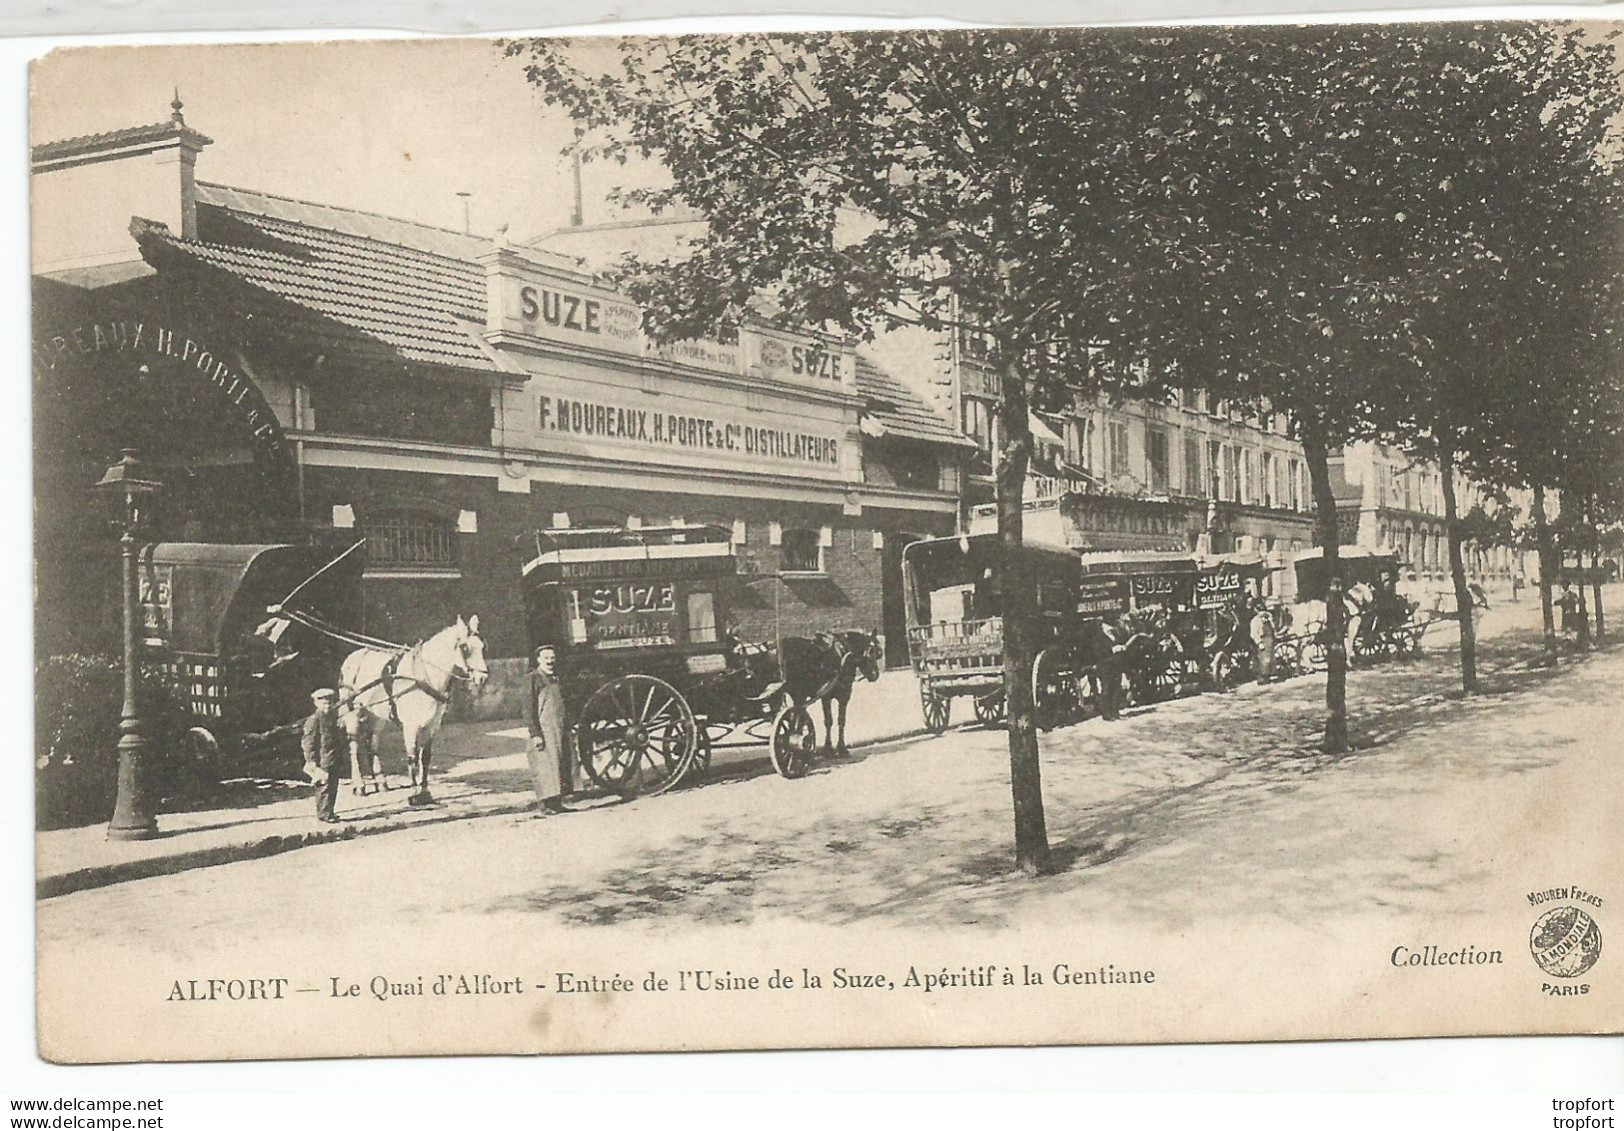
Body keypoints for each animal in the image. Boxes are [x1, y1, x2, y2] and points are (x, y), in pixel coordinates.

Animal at [341, 617, 487, 802]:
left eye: (482, 646)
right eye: (465, 648)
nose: (483, 678)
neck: (423, 676)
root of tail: (353, 657)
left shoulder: (432, 726)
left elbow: (425, 758)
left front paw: (425, 792)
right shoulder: (411, 726)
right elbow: (412, 759)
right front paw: (414, 794)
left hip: (377, 715)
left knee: (372, 743)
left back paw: (381, 782)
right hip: (352, 713)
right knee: (353, 746)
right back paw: (359, 785)